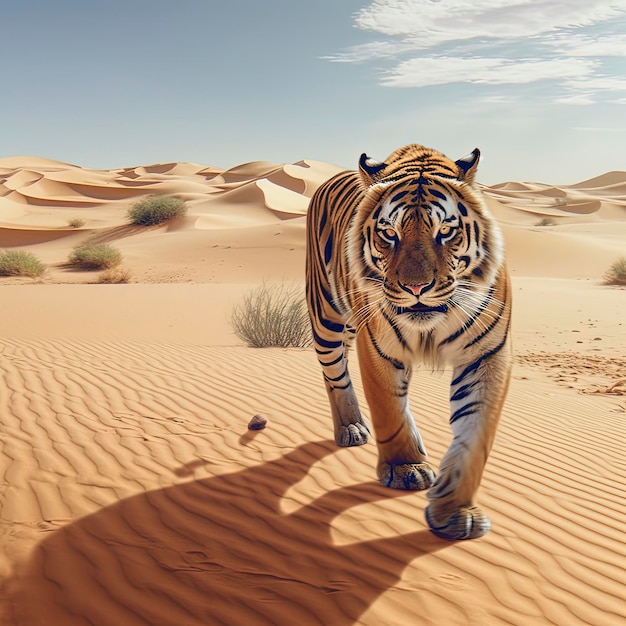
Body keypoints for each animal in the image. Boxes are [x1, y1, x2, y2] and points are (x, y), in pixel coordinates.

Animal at [304, 141, 510, 536]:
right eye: (389, 234)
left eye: (445, 232)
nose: (416, 288)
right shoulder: (379, 347)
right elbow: (390, 411)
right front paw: (406, 469)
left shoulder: (486, 356)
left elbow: (476, 435)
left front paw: (456, 510)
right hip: (327, 315)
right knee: (333, 372)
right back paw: (350, 428)